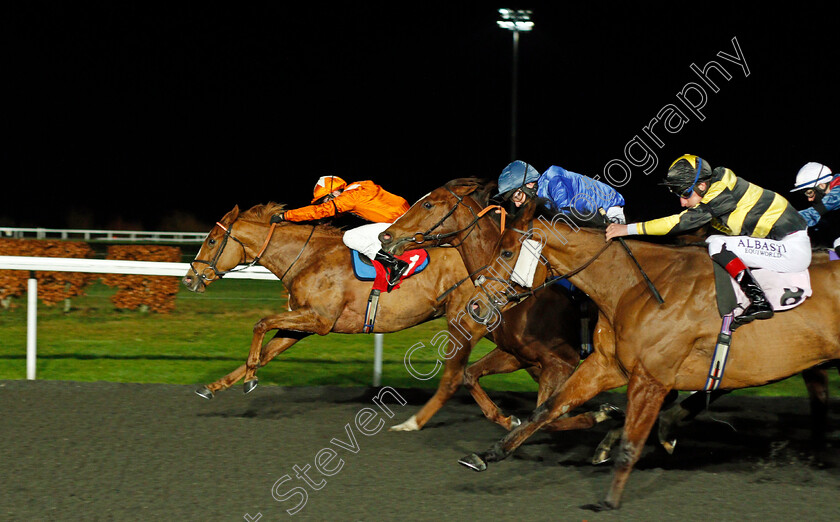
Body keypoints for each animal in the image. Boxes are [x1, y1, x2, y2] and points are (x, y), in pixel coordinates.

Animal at [182, 201, 498, 428]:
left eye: (212, 241)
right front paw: (215, 386)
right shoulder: (301, 325)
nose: (189, 279)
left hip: (471, 318)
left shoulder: (319, 320)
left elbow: (261, 324)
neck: (308, 257)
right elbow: (266, 352)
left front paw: (249, 379)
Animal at [380, 178, 624, 438]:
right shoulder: (517, 354)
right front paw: (509, 420)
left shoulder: (561, 361)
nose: (385, 236)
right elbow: (469, 375)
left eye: (427, 204)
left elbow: (546, 415)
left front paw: (601, 414)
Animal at [460, 198, 840, 508]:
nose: (475, 305)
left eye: (506, 253)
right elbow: (548, 408)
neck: (633, 287)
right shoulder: (606, 365)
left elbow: (631, 442)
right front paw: (490, 453)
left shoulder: (650, 378)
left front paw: (609, 501)